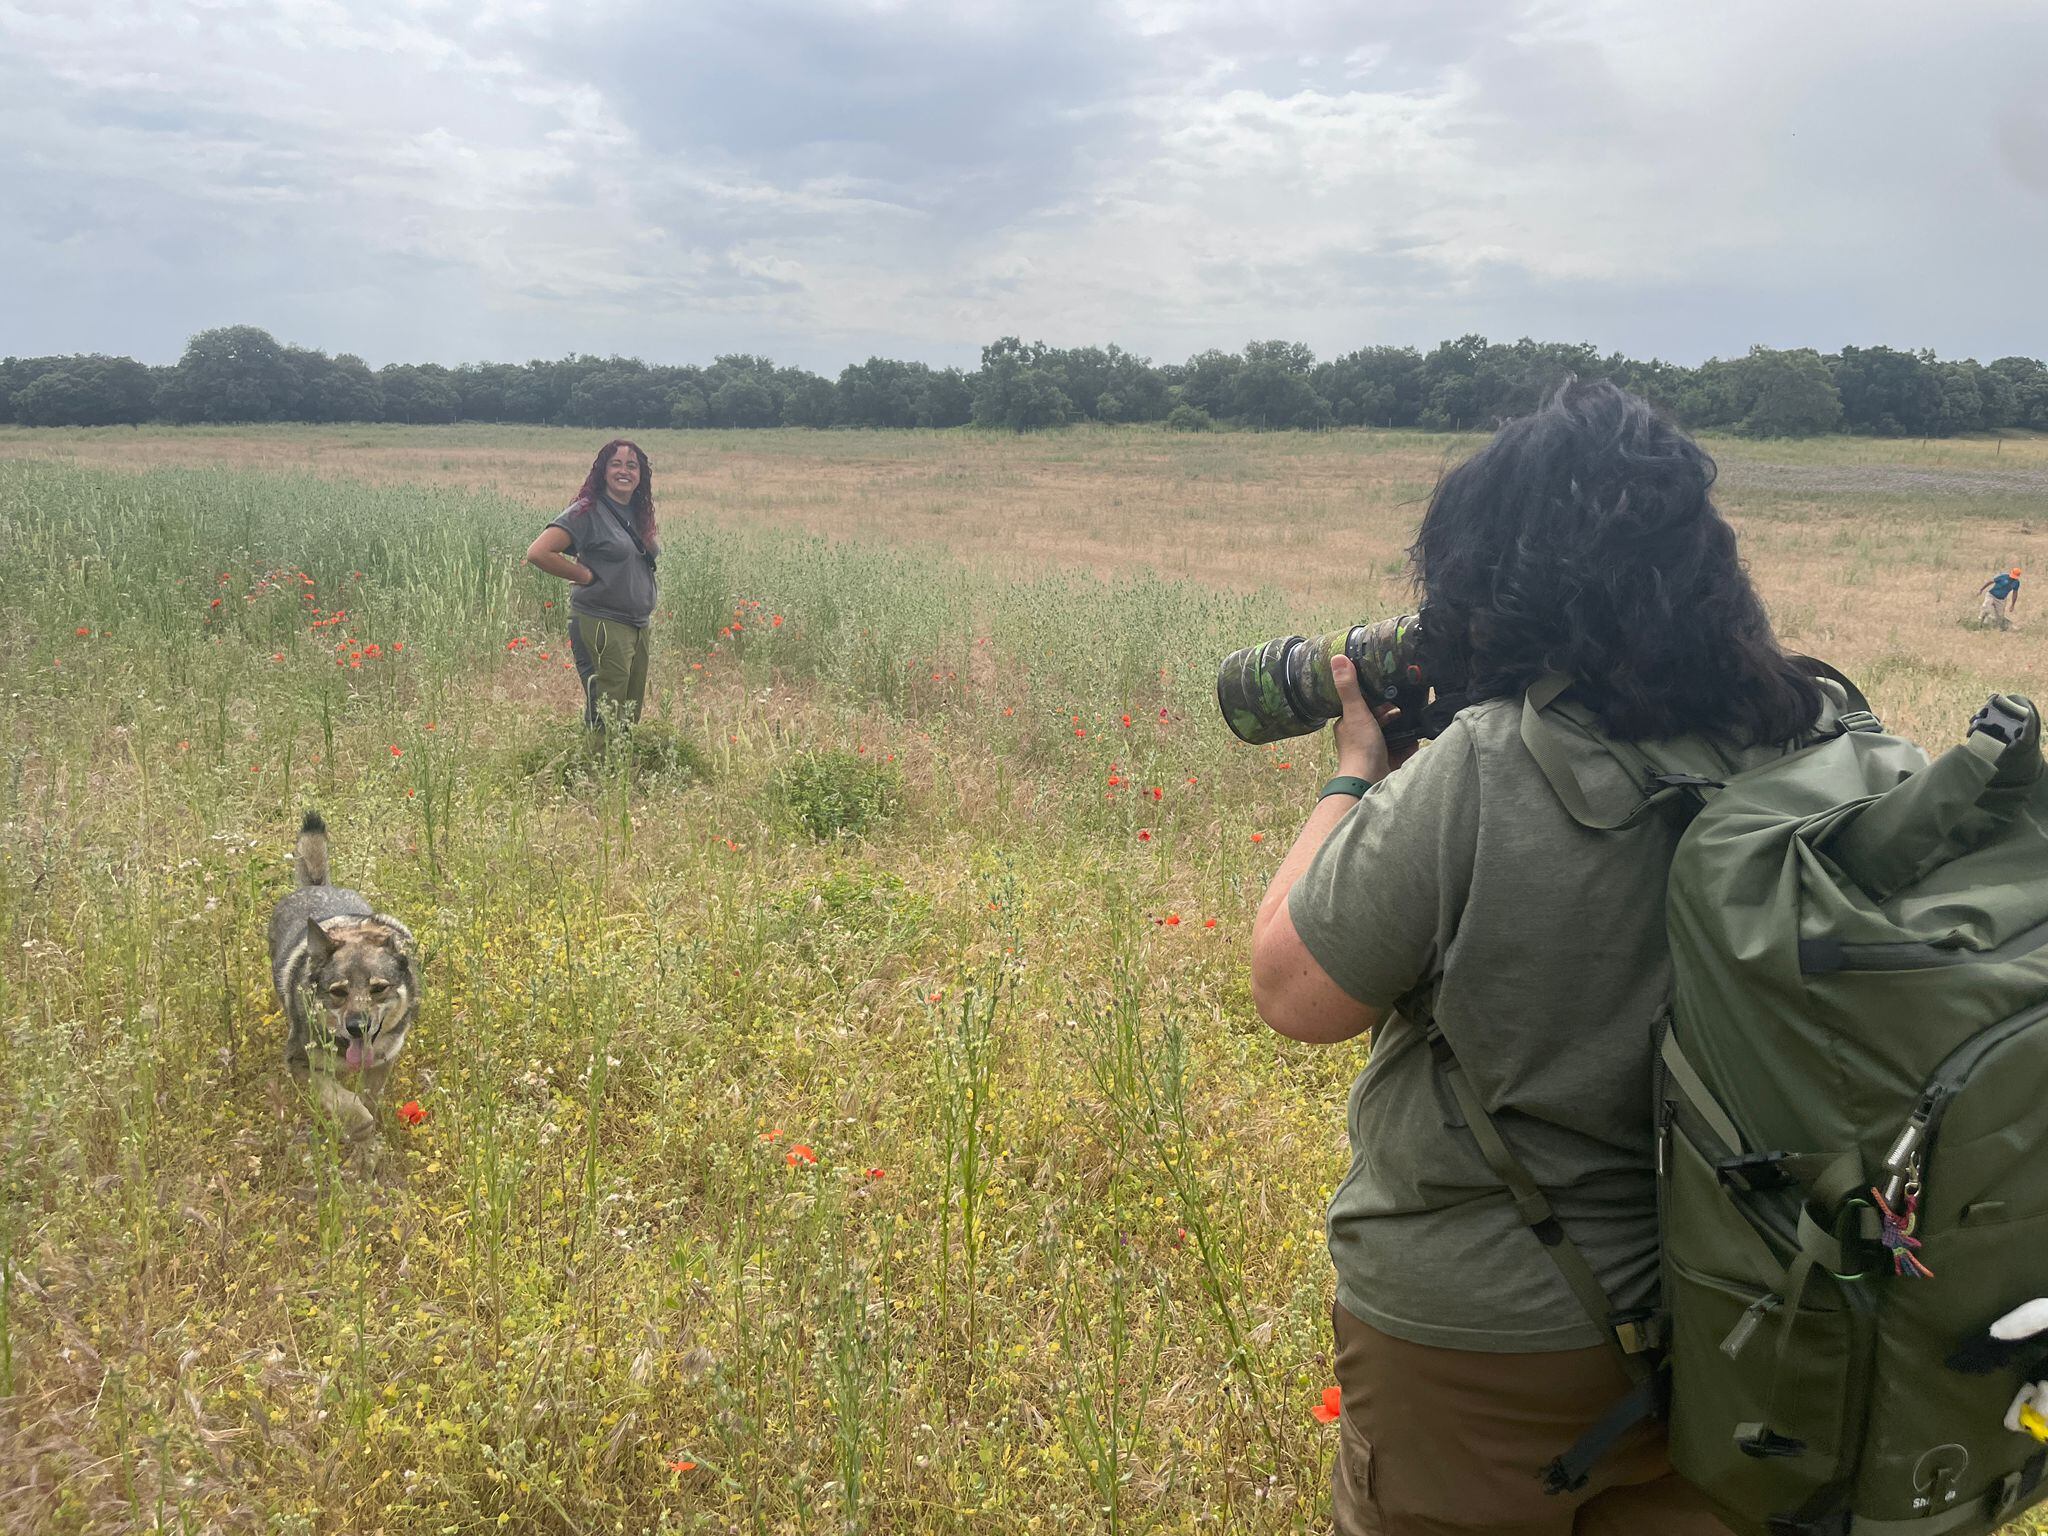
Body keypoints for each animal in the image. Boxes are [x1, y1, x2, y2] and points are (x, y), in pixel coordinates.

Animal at [268, 811, 420, 1143]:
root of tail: (315, 885)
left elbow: (368, 1096)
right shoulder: (299, 1063)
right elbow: (345, 1101)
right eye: (338, 991)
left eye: (379, 988)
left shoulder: (383, 1061)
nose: (357, 1028)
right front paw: (359, 1127)